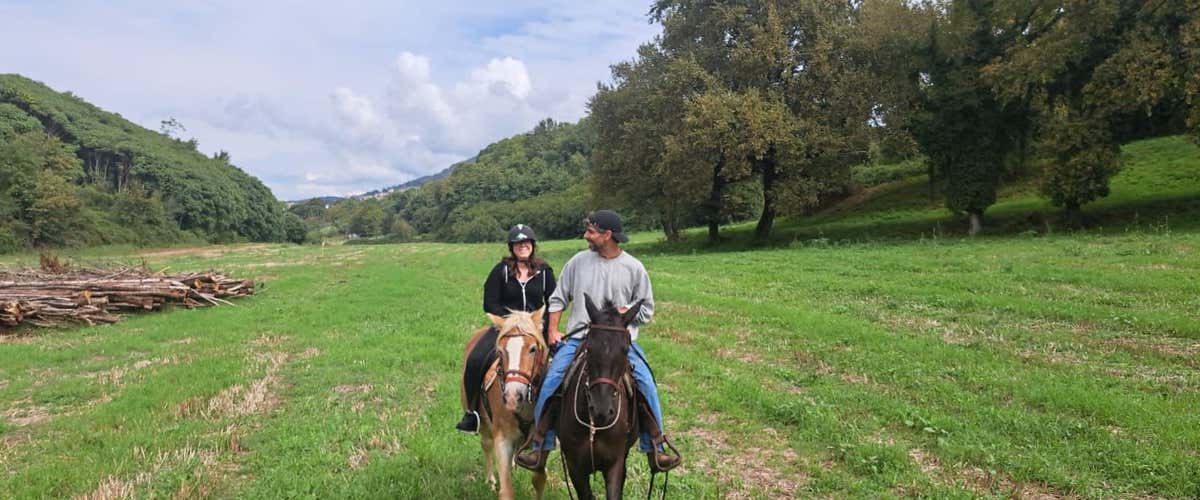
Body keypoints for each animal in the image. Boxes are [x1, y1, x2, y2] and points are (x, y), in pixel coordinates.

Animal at [461, 307, 550, 500]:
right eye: (500, 352)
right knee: (486, 444)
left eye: (533, 349)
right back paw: (490, 479)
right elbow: (507, 490)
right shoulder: (502, 438)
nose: (512, 397)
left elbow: (539, 478)